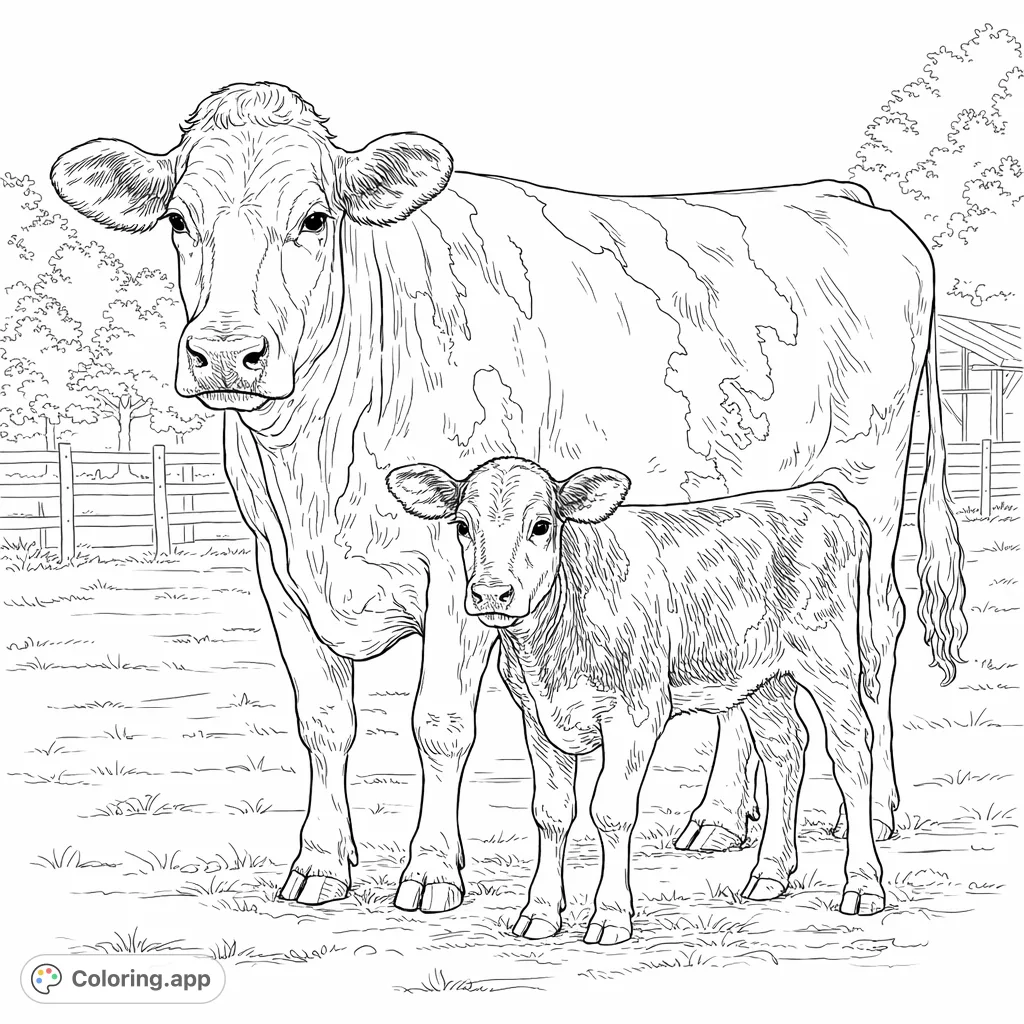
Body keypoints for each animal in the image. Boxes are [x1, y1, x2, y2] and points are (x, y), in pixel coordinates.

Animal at [387, 457, 886, 943]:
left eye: (542, 525)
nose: (491, 593)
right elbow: (551, 813)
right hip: (764, 678)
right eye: (463, 525)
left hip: (831, 661)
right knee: (785, 750)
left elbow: (610, 812)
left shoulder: (636, 715)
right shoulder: (538, 718)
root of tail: (817, 494)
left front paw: (610, 917)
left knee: (852, 752)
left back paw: (863, 885)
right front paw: (540, 913)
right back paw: (770, 874)